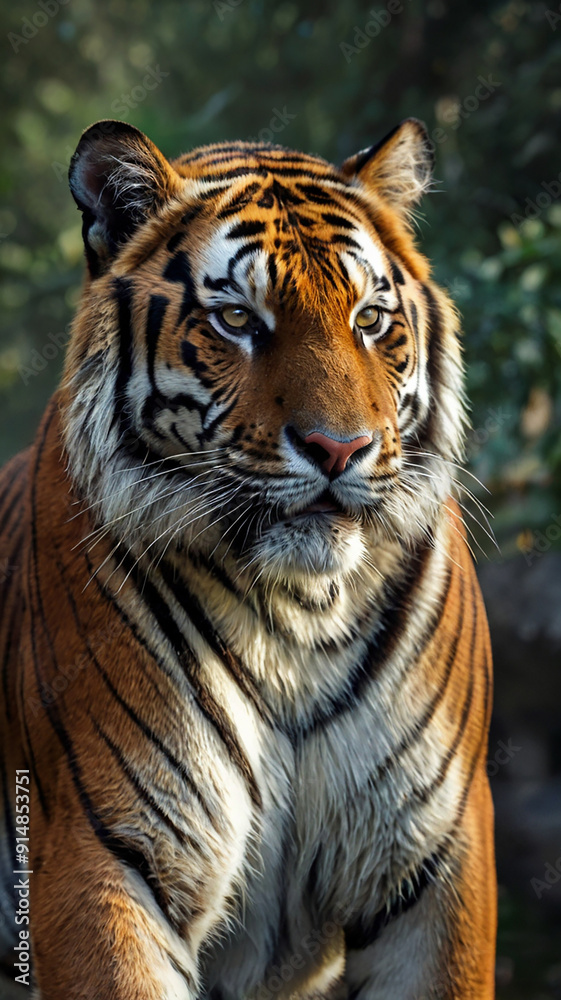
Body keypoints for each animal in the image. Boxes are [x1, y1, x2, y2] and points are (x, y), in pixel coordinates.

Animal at [0, 117, 496, 999]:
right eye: (236, 319)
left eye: (370, 318)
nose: (339, 448)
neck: (299, 612)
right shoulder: (104, 857)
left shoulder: (437, 863)